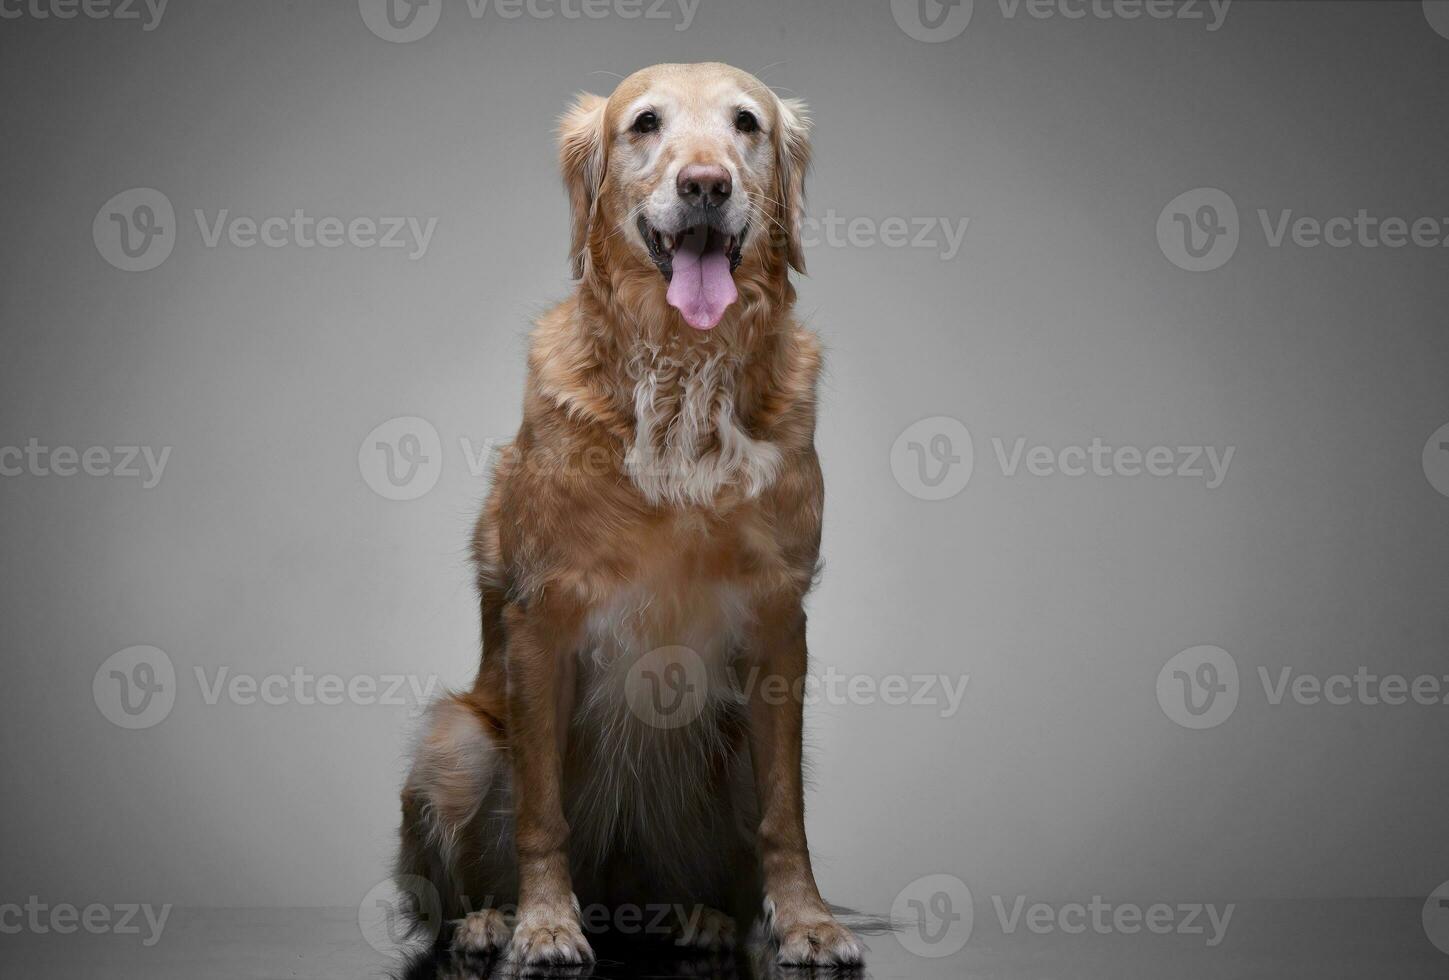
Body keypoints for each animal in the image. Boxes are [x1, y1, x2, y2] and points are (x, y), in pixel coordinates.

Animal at [394, 63, 857, 974]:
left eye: (745, 123)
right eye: (645, 124)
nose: (706, 184)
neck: (684, 372)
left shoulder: (780, 620)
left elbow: (784, 816)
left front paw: (805, 921)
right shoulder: (541, 614)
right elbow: (541, 814)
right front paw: (543, 924)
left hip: (728, 753)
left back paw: (701, 917)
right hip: (453, 740)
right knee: (461, 876)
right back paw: (488, 920)